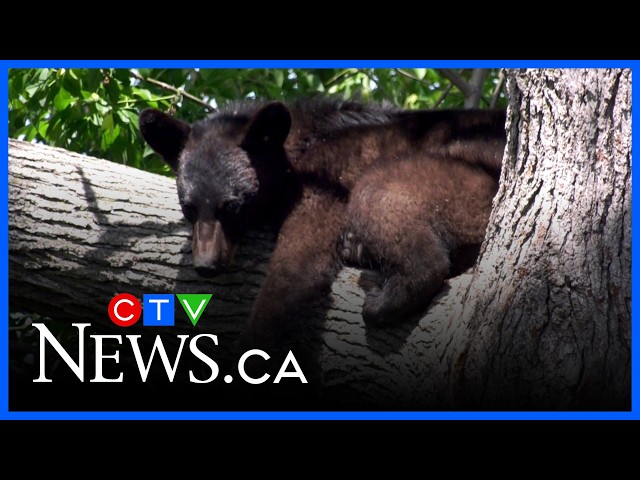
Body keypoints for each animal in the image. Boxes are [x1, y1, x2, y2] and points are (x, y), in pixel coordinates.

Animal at [139, 98, 506, 342]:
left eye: (233, 207)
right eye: (188, 207)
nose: (206, 265)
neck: (293, 152)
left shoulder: (317, 189)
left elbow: (297, 271)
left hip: (463, 186)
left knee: (381, 192)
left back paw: (381, 298)